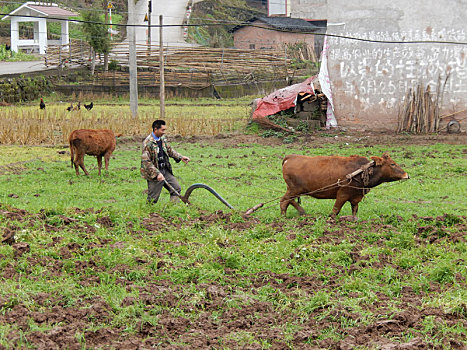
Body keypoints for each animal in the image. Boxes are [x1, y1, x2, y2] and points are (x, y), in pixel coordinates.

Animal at [282, 154, 410, 219]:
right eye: (392, 164)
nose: (406, 175)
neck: (362, 171)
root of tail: (290, 157)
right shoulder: (343, 194)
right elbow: (335, 211)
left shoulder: (356, 196)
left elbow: (354, 210)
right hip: (294, 189)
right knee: (284, 200)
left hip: (294, 190)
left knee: (288, 200)